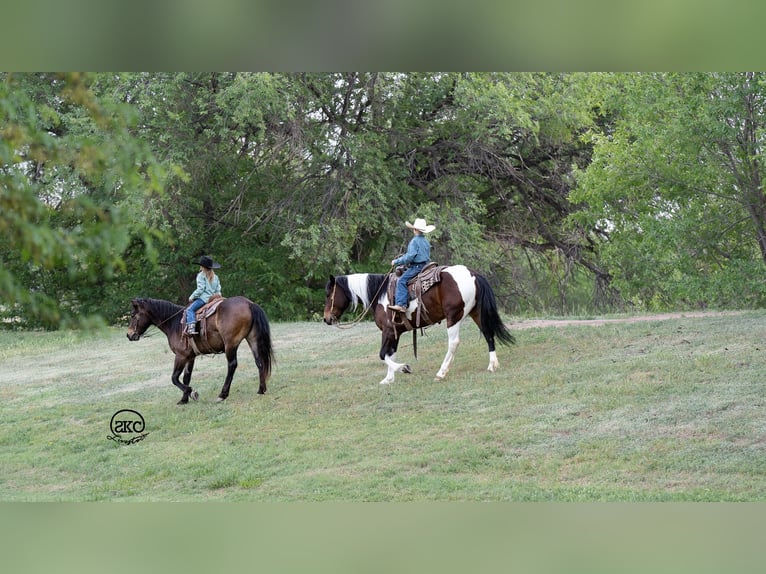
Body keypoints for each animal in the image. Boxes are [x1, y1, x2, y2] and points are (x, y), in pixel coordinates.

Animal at [124, 296, 272, 404]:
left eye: (132, 315)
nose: (129, 335)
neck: (175, 324)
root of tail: (248, 303)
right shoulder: (190, 357)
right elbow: (186, 377)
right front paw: (184, 399)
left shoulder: (181, 356)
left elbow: (174, 378)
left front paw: (192, 393)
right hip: (252, 339)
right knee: (259, 362)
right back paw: (261, 389)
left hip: (231, 344)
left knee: (232, 365)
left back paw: (222, 394)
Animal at [324, 266, 516, 388]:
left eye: (328, 294)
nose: (326, 319)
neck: (380, 294)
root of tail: (472, 274)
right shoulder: (395, 332)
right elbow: (390, 353)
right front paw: (388, 379)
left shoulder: (388, 330)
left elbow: (382, 354)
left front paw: (404, 368)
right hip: (476, 312)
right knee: (488, 333)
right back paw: (492, 365)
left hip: (453, 317)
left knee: (454, 343)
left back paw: (441, 372)